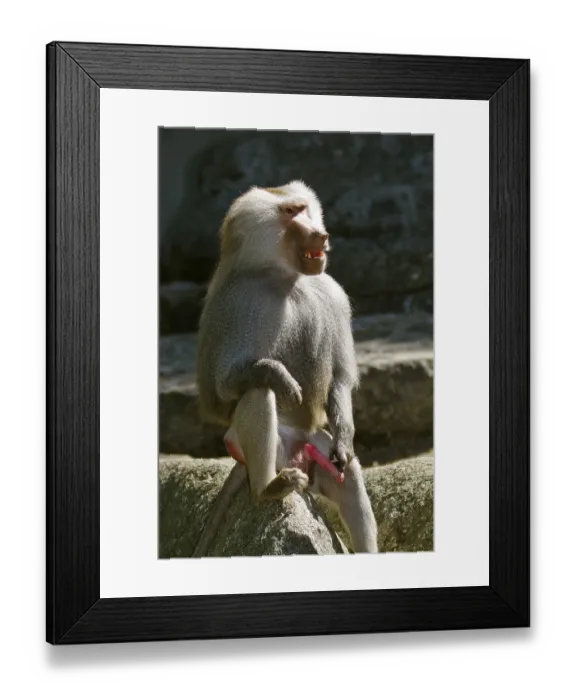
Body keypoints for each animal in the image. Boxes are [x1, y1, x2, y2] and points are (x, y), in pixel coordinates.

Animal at [193, 180, 378, 556]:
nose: (321, 235)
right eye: (290, 213)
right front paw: (281, 376)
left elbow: (341, 378)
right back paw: (268, 488)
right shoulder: (239, 304)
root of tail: (295, 454)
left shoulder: (333, 294)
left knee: (349, 478)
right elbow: (222, 387)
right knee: (258, 392)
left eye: (304, 208)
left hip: (317, 455)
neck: (287, 279)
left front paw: (346, 438)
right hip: (250, 447)